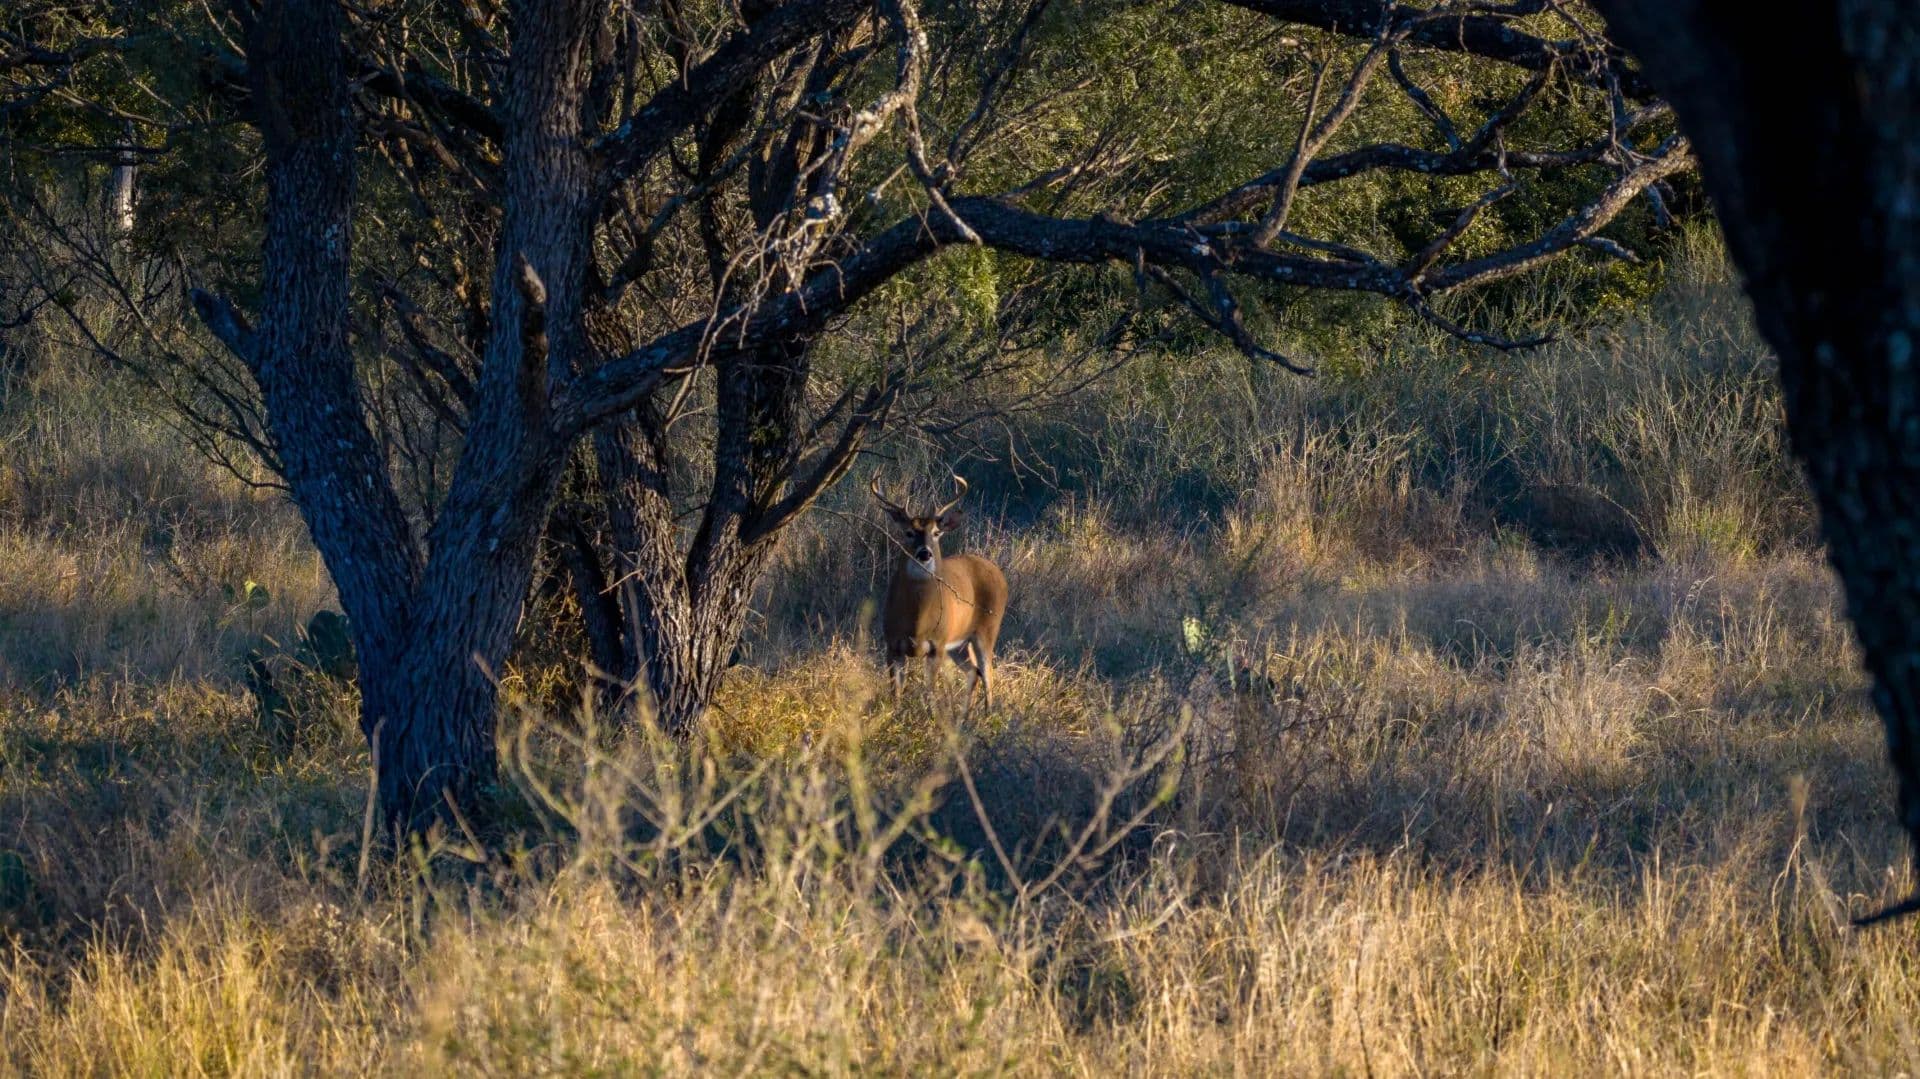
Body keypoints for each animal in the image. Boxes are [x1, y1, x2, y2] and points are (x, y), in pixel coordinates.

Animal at [871, 474, 1008, 713]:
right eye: (908, 533)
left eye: (936, 533)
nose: (925, 553)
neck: (917, 622)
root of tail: (998, 572)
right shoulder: (892, 644)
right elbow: (895, 693)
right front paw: (894, 716)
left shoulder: (937, 644)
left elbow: (929, 693)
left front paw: (929, 717)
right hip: (959, 643)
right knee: (974, 671)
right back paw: (966, 715)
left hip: (987, 628)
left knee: (988, 673)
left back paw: (987, 714)